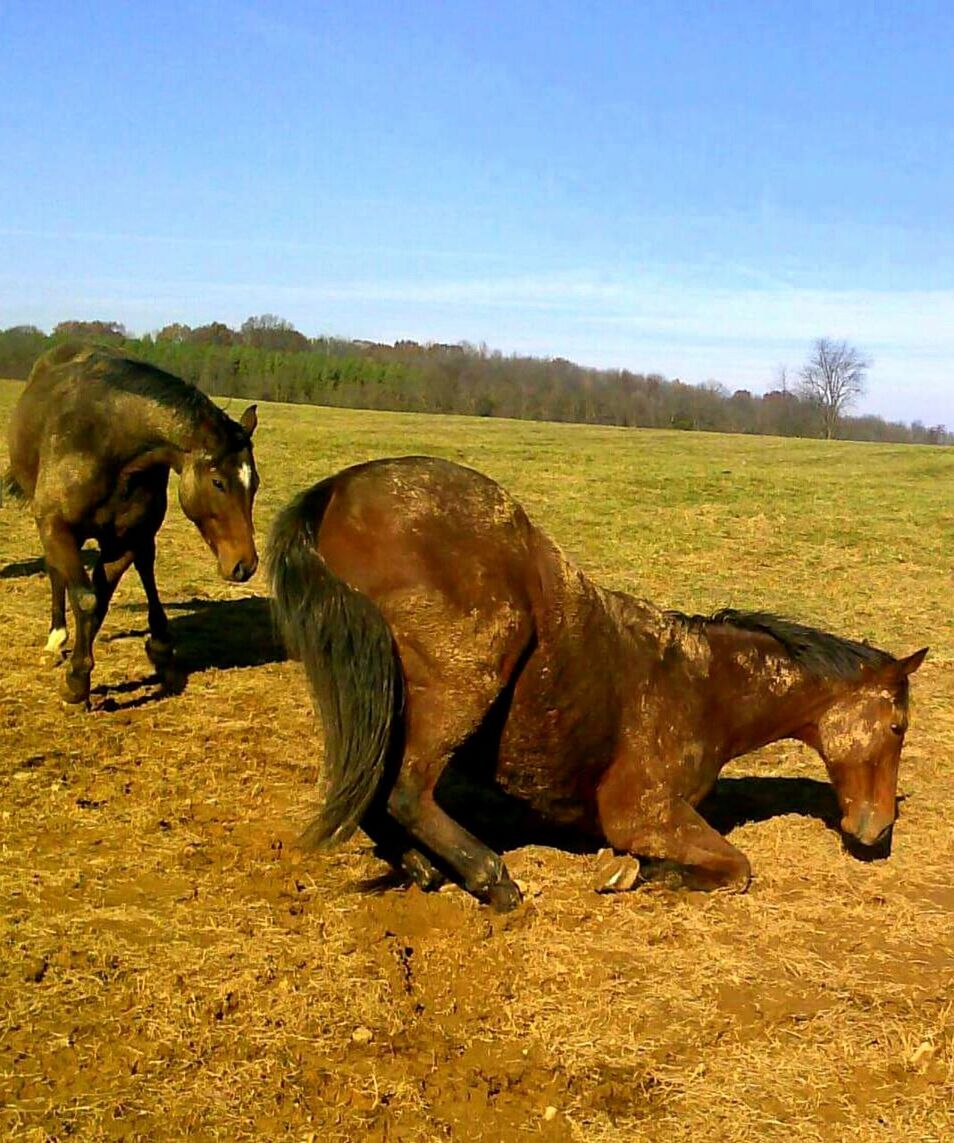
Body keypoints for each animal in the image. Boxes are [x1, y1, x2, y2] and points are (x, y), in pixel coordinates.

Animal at [3, 342, 261, 699]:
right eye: (218, 482)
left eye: (256, 483)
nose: (244, 565)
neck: (107, 444)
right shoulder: (56, 526)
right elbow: (85, 598)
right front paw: (77, 680)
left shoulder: (123, 541)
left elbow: (99, 598)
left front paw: (82, 670)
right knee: (59, 575)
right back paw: (56, 639)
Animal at [266, 454, 923, 909]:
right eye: (897, 726)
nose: (877, 831)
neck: (704, 685)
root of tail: (336, 489)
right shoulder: (643, 814)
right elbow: (735, 868)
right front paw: (633, 872)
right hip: (461, 682)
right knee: (404, 791)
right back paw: (490, 879)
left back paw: (422, 868)